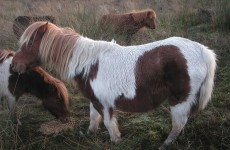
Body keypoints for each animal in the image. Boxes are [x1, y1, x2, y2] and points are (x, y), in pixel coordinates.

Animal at [10, 21, 216, 149]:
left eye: (29, 43)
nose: (13, 65)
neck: (87, 63)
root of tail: (200, 49)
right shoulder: (94, 100)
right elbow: (93, 119)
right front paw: (87, 135)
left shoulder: (105, 103)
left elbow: (109, 124)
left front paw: (115, 141)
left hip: (179, 100)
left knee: (178, 124)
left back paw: (164, 145)